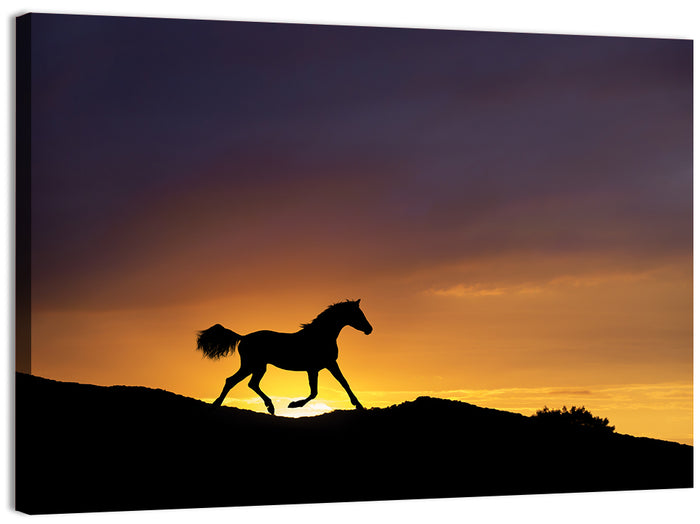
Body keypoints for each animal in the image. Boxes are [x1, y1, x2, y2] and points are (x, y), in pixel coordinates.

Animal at [196, 299, 373, 415]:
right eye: (357, 314)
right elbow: (334, 386)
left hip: (258, 367)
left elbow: (329, 387)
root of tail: (243, 337)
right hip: (252, 365)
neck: (320, 336)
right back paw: (218, 404)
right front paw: (294, 405)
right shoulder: (325, 365)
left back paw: (269, 407)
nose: (369, 329)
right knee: (232, 381)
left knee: (250, 383)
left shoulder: (317, 368)